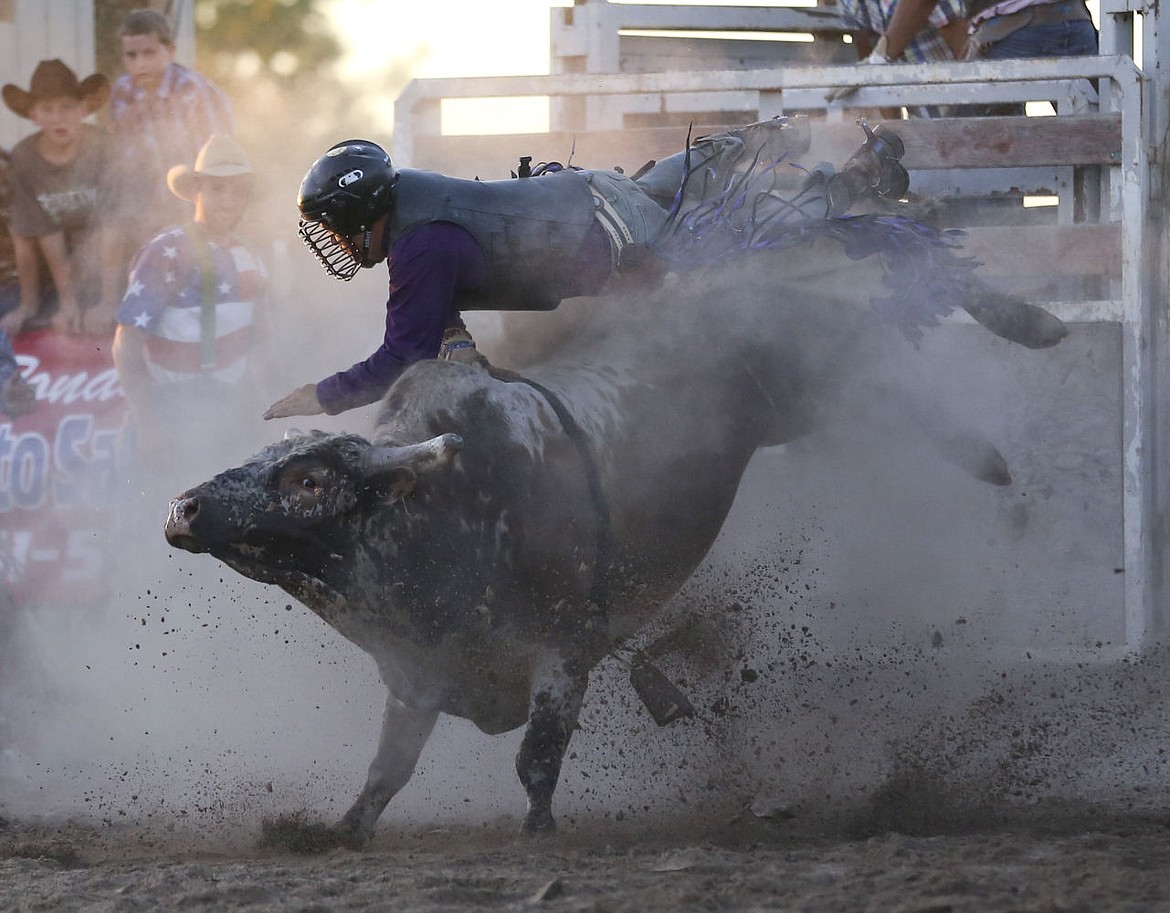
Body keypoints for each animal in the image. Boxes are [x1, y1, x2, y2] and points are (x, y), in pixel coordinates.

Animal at [164, 245, 1071, 847]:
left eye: (311, 478)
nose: (184, 505)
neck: (449, 512)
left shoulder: (565, 649)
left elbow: (536, 758)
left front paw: (540, 831)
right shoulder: (418, 676)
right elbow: (387, 770)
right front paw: (335, 829)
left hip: (814, 366)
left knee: (891, 317)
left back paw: (1017, 373)